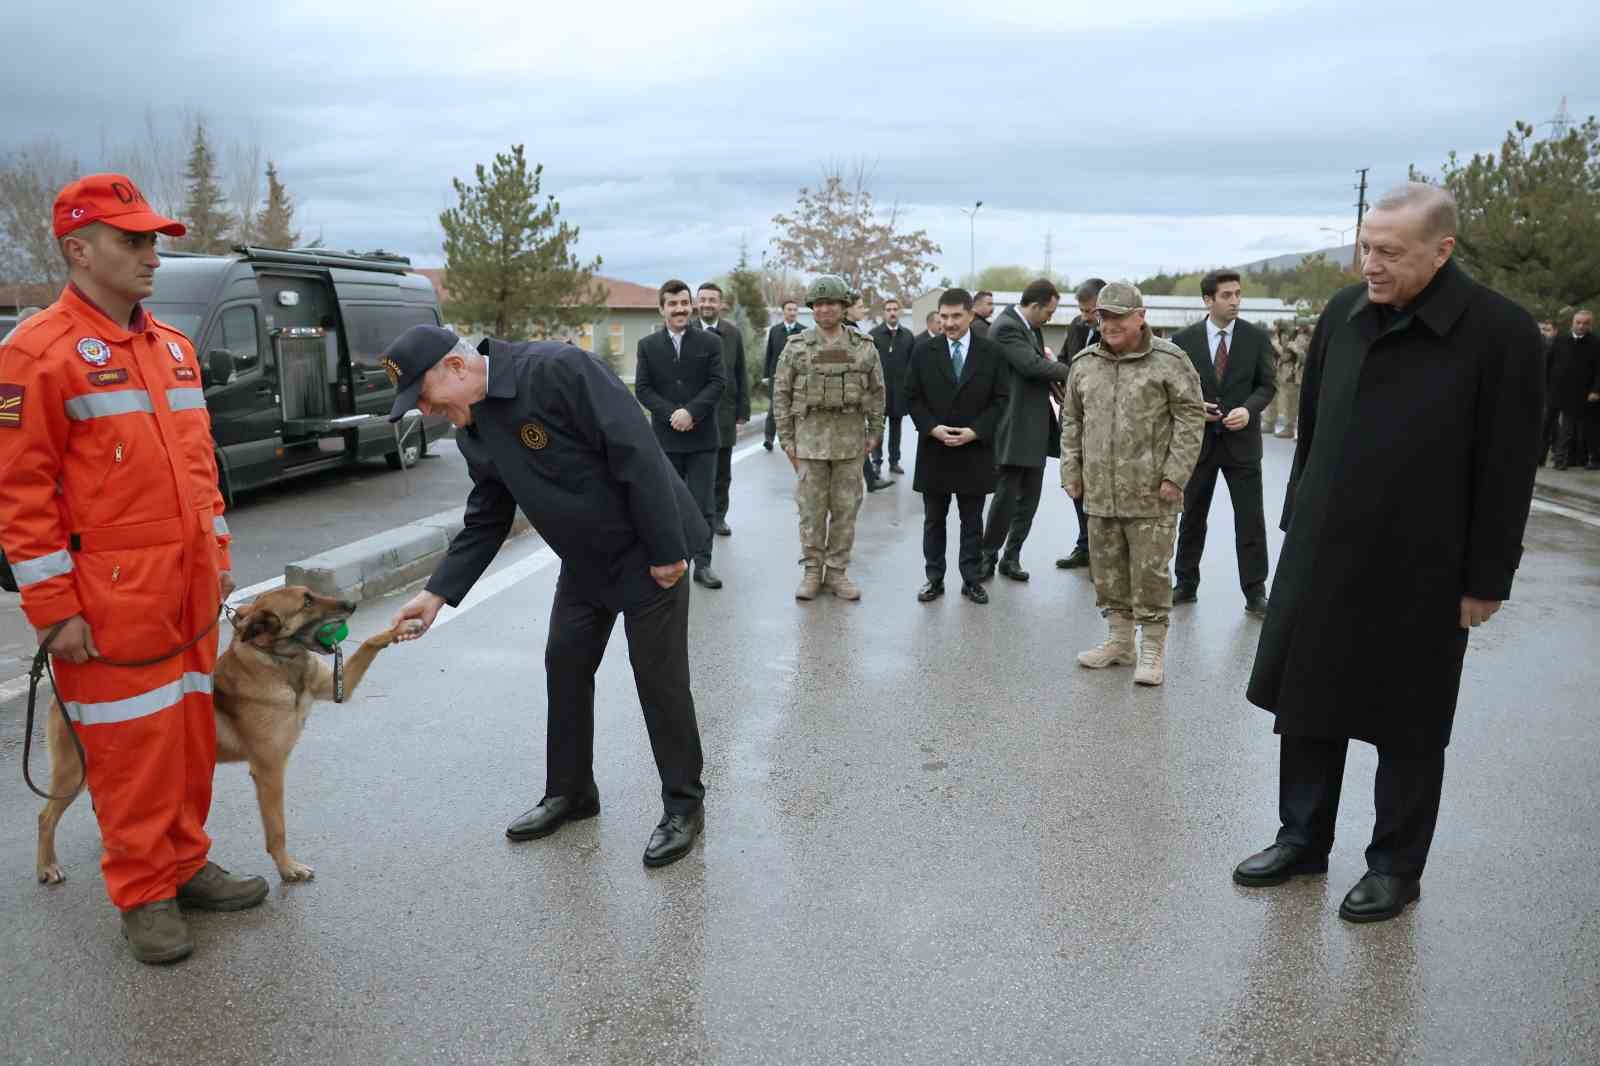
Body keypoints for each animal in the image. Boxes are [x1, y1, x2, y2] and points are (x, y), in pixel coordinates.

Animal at [38, 585, 406, 883]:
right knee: (46, 817)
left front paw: (400, 628)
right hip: (73, 773)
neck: (277, 661)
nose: (351, 604)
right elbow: (277, 829)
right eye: (306, 602)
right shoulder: (269, 771)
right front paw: (287, 869)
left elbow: (369, 643)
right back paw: (47, 867)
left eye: (312, 593)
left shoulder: (335, 685)